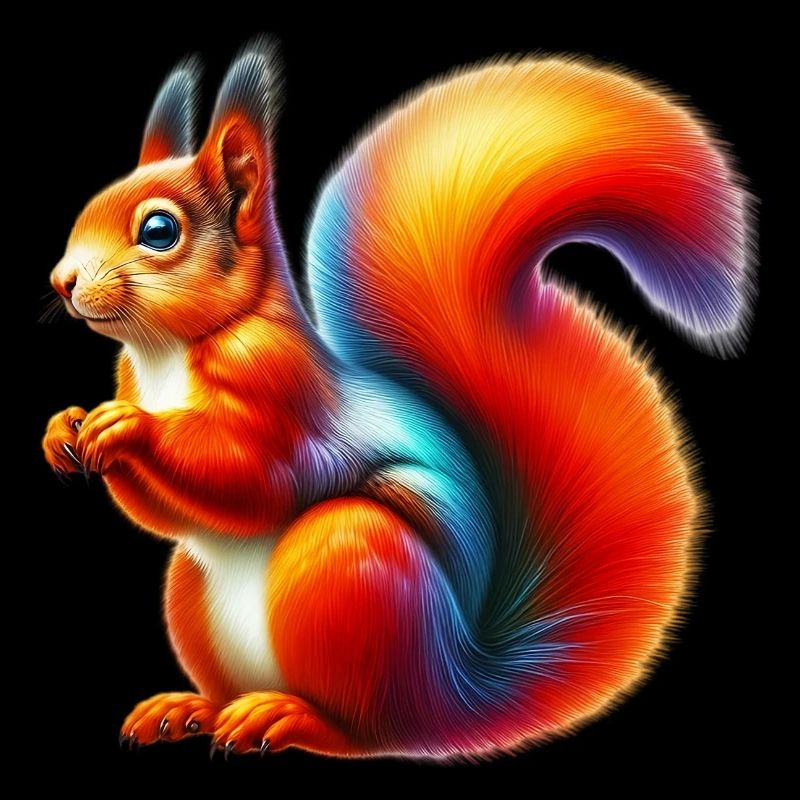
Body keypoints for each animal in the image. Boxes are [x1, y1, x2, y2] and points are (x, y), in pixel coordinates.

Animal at [42, 37, 752, 760]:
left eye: (160, 230)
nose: (62, 280)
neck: (165, 354)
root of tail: (458, 695)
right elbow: (164, 517)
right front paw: (64, 427)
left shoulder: (283, 392)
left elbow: (254, 477)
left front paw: (130, 428)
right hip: (195, 593)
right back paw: (191, 709)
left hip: (352, 570)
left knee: (367, 731)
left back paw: (287, 717)